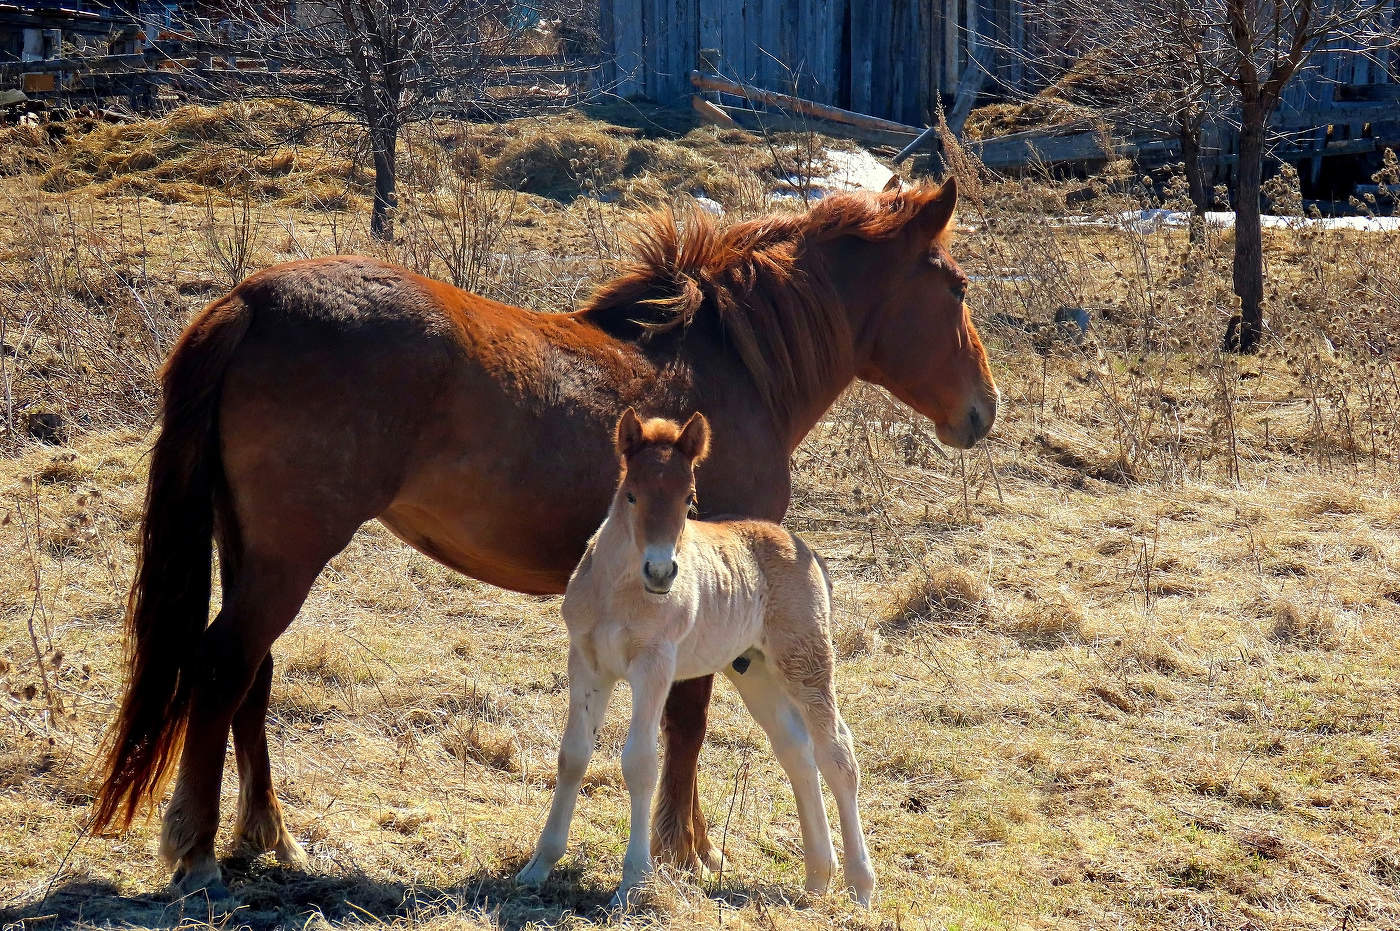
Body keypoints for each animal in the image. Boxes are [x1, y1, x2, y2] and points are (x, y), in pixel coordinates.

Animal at [518, 409, 875, 908]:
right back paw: (817, 879)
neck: (618, 592)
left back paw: (860, 886)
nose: (661, 572)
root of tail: (806, 549)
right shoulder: (586, 663)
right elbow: (572, 755)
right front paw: (538, 867)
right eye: (631, 494)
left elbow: (640, 762)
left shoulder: (654, 666)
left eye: (689, 499)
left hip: (804, 660)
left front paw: (633, 882)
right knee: (796, 750)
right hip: (755, 671)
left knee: (837, 751)